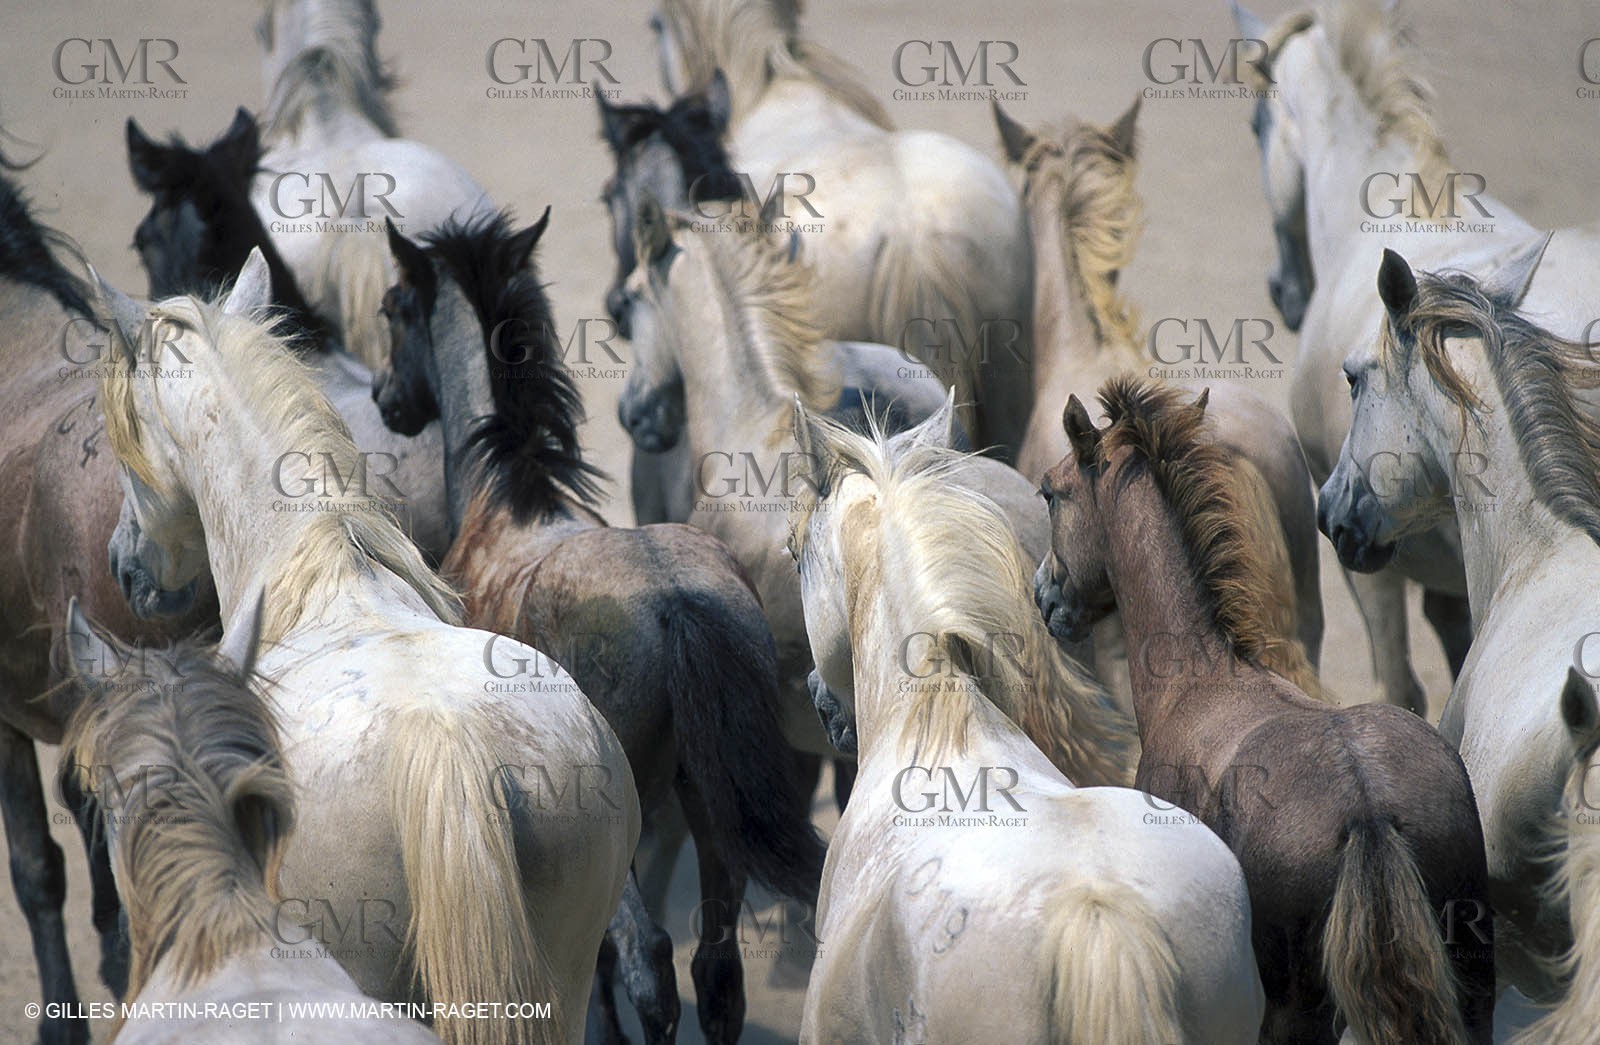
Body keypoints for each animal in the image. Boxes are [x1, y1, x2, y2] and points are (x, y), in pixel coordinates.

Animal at [373, 207, 826, 1043]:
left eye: (393, 305)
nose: (388, 398)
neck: (506, 505)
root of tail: (675, 600)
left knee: (646, 957)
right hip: (704, 801)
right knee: (718, 969)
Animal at [1037, 376, 1494, 1043]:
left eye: (1050, 491)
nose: (1045, 595)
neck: (1201, 682)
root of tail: (1369, 811)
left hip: (1295, 1011)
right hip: (1471, 989)